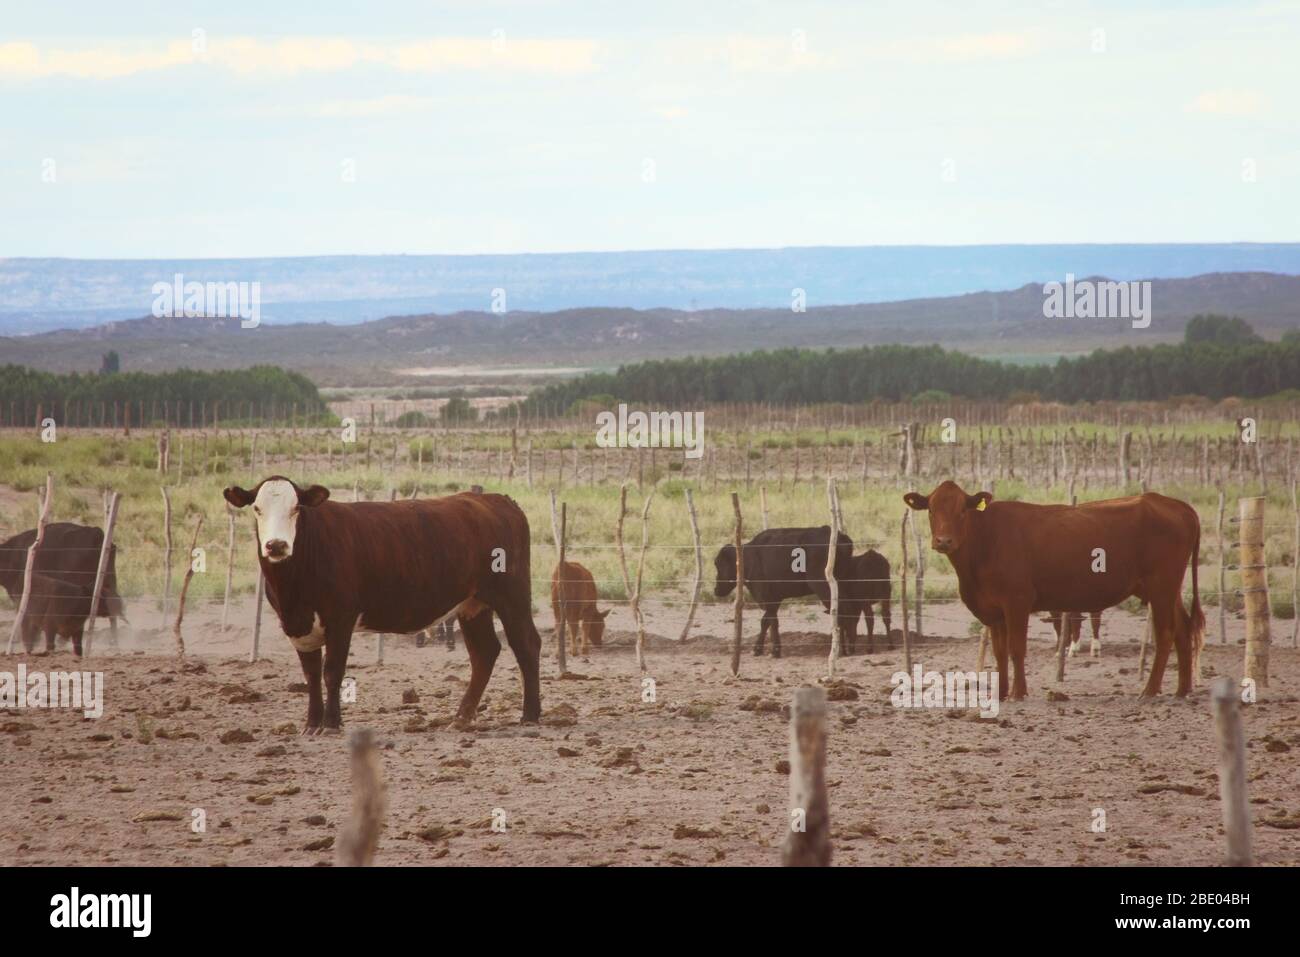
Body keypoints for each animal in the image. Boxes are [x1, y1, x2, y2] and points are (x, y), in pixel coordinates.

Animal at [223, 476, 542, 733]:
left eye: (296, 509)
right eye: (257, 509)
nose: (276, 545)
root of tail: (498, 500)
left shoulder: (341, 619)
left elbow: (332, 671)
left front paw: (331, 724)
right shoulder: (298, 626)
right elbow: (311, 675)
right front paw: (312, 724)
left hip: (511, 595)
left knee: (526, 645)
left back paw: (530, 714)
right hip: (472, 605)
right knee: (484, 653)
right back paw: (462, 717)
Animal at [713, 526, 866, 657]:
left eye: (720, 565)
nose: (716, 590)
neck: (748, 558)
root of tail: (841, 538)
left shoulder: (768, 598)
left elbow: (770, 621)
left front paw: (771, 650)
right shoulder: (775, 599)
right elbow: (768, 622)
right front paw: (763, 649)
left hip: (823, 586)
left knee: (841, 611)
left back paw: (840, 649)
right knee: (850, 610)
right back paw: (848, 647)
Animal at [904, 481, 1203, 700]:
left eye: (962, 511)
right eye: (930, 510)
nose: (943, 541)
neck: (986, 540)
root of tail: (1175, 505)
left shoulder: (1017, 602)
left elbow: (1016, 649)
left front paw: (1018, 693)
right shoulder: (995, 612)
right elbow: (999, 653)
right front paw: (1001, 694)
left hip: (1161, 587)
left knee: (1166, 633)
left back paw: (1149, 691)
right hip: (1166, 590)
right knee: (1183, 629)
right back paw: (1182, 690)